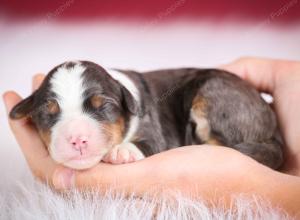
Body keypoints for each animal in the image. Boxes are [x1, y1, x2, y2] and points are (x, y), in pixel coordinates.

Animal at [9, 61, 284, 169]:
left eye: (104, 106)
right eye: (48, 113)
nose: (77, 140)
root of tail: (274, 133)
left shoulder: (156, 131)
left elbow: (148, 143)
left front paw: (122, 151)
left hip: (214, 97)